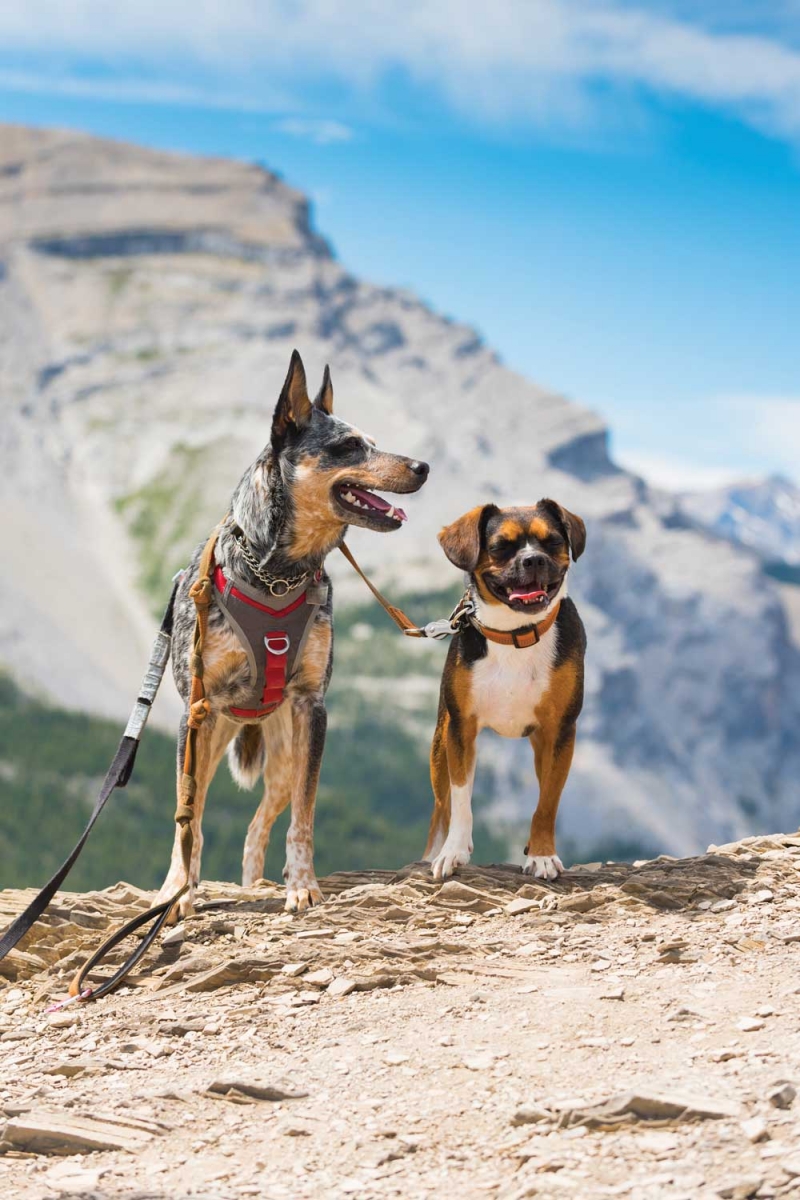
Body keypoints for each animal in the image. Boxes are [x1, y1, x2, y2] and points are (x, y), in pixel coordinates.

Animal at [158, 350, 431, 912]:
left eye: (374, 440)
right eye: (349, 446)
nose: (422, 466)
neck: (279, 572)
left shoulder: (312, 710)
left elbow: (303, 818)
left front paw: (302, 884)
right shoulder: (196, 712)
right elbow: (187, 818)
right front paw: (175, 891)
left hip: (284, 756)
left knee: (259, 823)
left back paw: (259, 882)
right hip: (214, 737)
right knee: (202, 815)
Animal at [424, 496, 587, 883]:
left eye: (553, 541)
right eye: (500, 547)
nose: (533, 559)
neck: (516, 634)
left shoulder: (560, 732)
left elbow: (547, 802)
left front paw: (542, 855)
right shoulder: (461, 730)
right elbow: (461, 800)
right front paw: (453, 851)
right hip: (439, 746)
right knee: (442, 806)